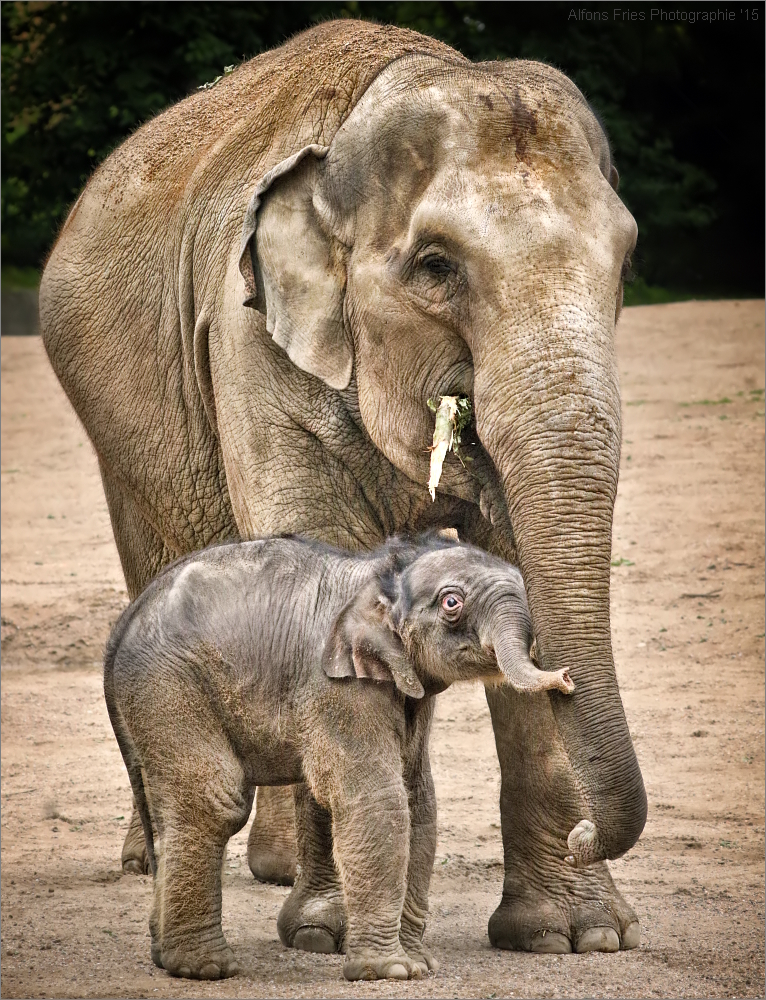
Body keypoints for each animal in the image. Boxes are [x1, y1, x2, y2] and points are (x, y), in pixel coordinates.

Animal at [106, 536, 576, 980]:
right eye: (451, 603)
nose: (566, 679)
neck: (380, 578)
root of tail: (123, 625)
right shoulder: (336, 686)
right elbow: (378, 799)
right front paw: (390, 972)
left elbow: (418, 802)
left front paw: (420, 964)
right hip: (169, 687)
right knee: (213, 805)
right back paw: (204, 968)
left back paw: (165, 955)